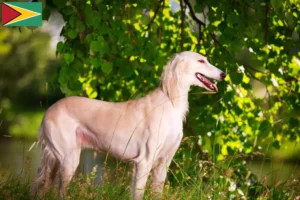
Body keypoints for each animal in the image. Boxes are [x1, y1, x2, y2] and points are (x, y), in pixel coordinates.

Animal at [32, 51, 225, 198]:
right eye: (201, 60)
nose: (224, 74)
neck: (170, 102)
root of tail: (48, 111)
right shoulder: (144, 162)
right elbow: (138, 194)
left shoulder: (163, 163)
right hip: (68, 159)